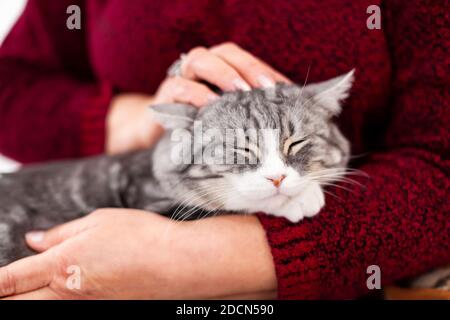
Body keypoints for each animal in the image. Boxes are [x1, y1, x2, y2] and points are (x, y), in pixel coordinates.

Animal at [0, 70, 354, 264]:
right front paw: (301, 199)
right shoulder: (154, 201)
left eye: (296, 143)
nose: (277, 177)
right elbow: (232, 204)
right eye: (240, 148)